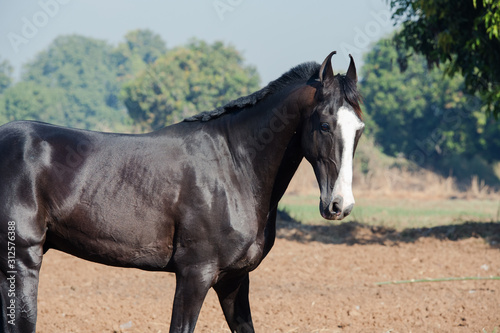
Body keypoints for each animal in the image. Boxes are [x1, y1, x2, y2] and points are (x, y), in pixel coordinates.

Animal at [0, 52, 364, 332]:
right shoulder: (195, 275)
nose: (339, 205)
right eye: (325, 125)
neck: (234, 166)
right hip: (22, 260)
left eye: (359, 128)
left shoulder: (234, 280)